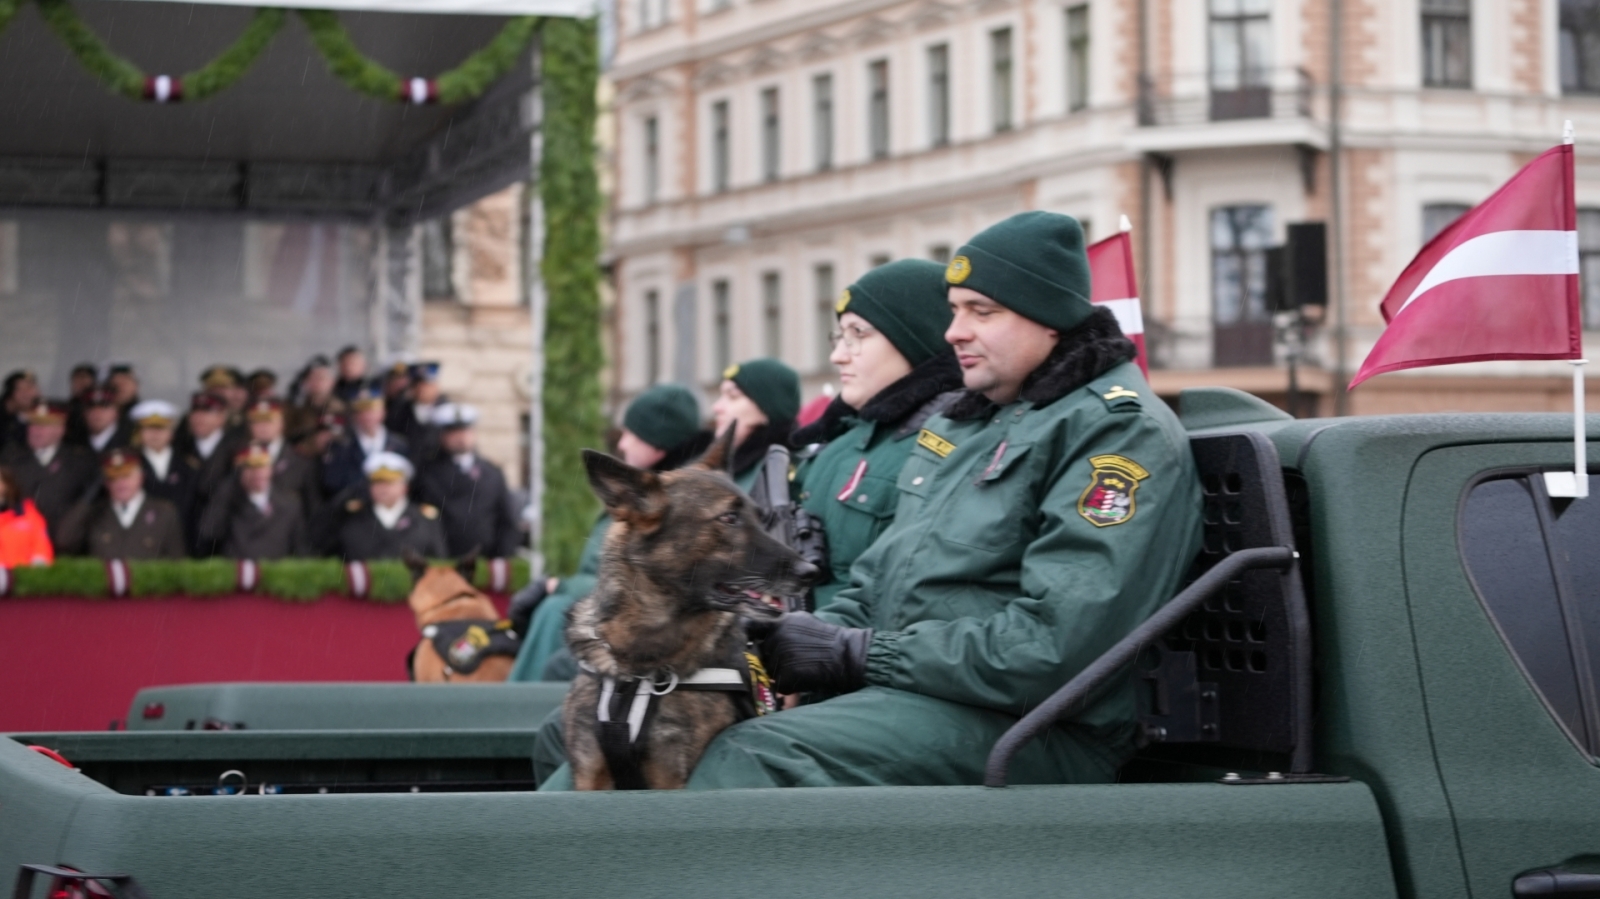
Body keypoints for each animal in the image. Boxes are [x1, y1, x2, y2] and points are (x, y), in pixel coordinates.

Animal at [563, 425, 819, 783]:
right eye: (729, 518)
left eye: (758, 517)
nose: (810, 572)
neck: (639, 668)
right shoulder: (590, 775)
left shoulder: (671, 776)